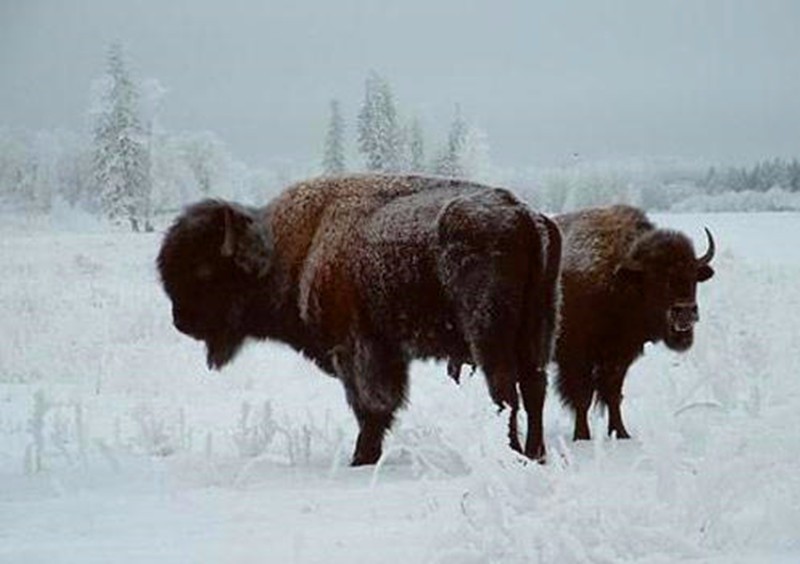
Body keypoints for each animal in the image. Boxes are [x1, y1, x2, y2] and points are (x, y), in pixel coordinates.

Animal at [158, 174, 564, 464]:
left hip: (489, 335)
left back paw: (513, 453)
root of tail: (525, 215)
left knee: (505, 392)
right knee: (534, 389)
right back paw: (536, 454)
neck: (297, 248)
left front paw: (361, 458)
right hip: (538, 329)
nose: (181, 321)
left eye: (205, 271)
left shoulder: (358, 350)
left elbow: (370, 406)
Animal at [552, 205, 716, 442]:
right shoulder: (576, 357)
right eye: (657, 277)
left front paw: (621, 433)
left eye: (693, 275)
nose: (685, 312)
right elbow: (582, 397)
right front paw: (582, 437)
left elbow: (613, 394)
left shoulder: (621, 356)